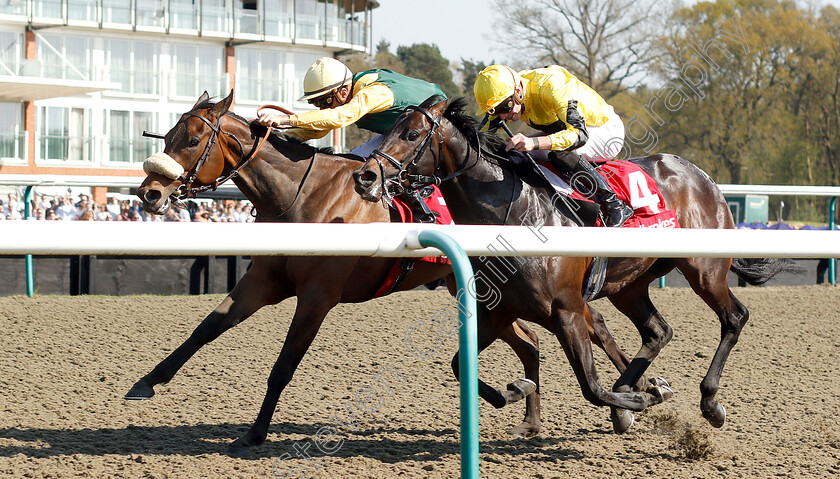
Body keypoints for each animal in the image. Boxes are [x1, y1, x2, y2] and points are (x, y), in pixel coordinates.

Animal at [125, 93, 544, 458]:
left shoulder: (317, 297)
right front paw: (146, 382)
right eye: (168, 136)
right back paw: (527, 415)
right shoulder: (262, 282)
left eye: (194, 140)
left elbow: (283, 368)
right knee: (529, 341)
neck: (304, 197)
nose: (149, 193)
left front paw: (254, 434)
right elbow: (207, 327)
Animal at [352, 95, 796, 434]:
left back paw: (707, 402)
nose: (365, 177)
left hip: (703, 269)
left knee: (733, 317)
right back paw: (641, 389)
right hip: (629, 285)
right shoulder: (498, 312)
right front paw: (517, 390)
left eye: (411, 134)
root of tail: (702, 176)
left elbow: (591, 387)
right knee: (658, 331)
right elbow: (461, 366)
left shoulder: (565, 311)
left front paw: (638, 400)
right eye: (387, 131)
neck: (514, 215)